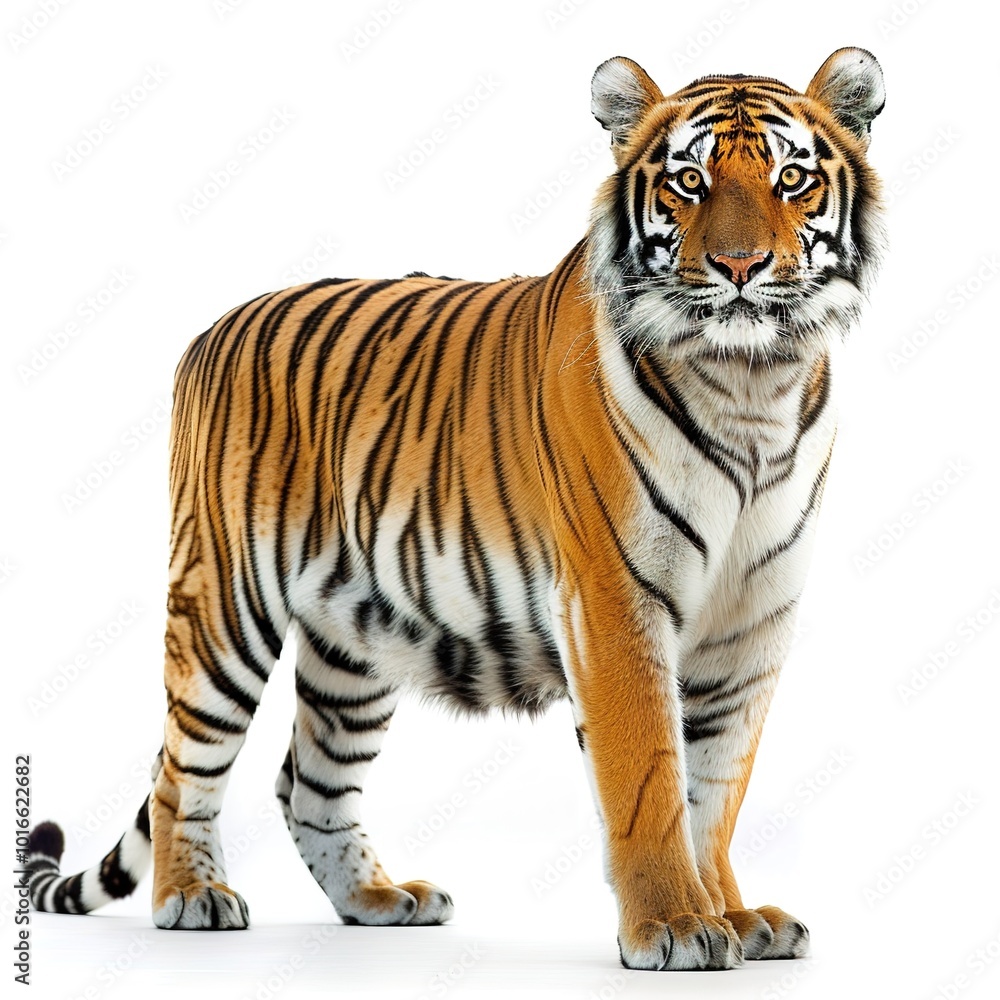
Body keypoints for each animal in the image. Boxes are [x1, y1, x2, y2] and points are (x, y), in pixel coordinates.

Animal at [28, 47, 884, 971]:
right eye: (689, 181)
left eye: (792, 178)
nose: (740, 265)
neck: (752, 383)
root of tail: (210, 330)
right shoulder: (614, 599)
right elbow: (650, 778)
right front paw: (676, 926)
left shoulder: (753, 616)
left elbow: (716, 788)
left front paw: (734, 915)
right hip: (225, 601)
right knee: (182, 769)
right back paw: (191, 897)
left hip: (355, 637)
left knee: (309, 783)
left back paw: (378, 900)